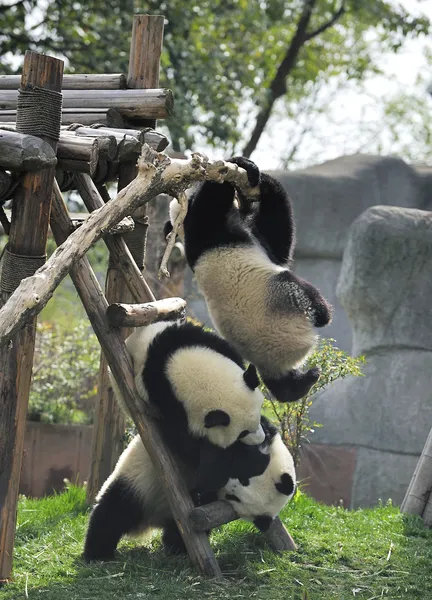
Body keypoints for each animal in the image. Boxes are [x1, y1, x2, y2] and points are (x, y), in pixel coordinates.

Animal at [82, 418, 296, 564]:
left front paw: (200, 495)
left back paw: (177, 548)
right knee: (113, 513)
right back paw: (97, 554)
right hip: (136, 483)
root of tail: (150, 521)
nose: (225, 485)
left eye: (233, 498)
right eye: (244, 477)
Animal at [109, 322, 264, 480]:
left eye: (258, 415)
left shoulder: (194, 338)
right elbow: (185, 445)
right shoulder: (167, 402)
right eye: (243, 433)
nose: (261, 439)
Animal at [165, 157, 330, 406]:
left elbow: (276, 241)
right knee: (310, 299)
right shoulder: (212, 228)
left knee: (282, 388)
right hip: (287, 297)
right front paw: (240, 167)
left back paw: (301, 383)